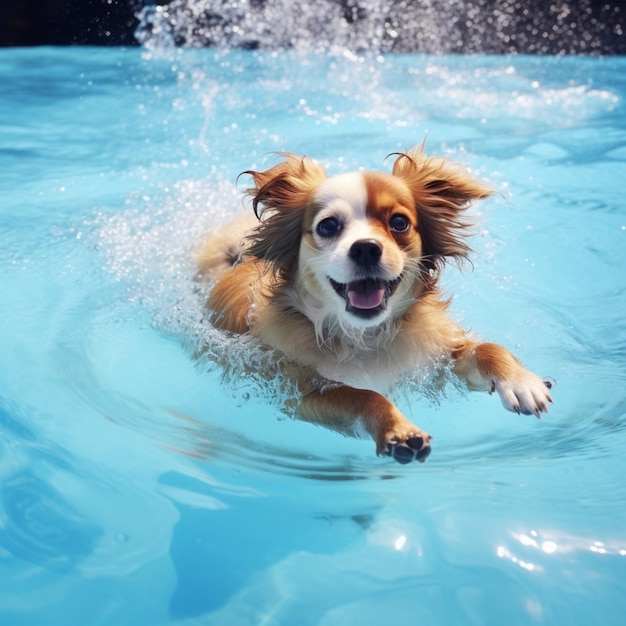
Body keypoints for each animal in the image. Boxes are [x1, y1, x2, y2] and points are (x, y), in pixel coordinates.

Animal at [196, 149, 552, 464]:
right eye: (327, 226)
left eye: (399, 223)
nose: (366, 248)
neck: (366, 336)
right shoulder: (305, 393)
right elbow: (365, 395)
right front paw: (399, 431)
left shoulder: (438, 359)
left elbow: (488, 348)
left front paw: (521, 381)